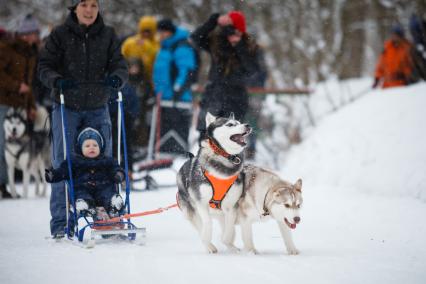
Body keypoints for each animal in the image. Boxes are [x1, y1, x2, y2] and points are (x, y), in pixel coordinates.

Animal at [177, 112, 253, 253]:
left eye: (239, 122)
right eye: (230, 124)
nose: (247, 125)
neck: (224, 157)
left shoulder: (231, 206)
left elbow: (229, 229)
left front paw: (228, 242)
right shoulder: (201, 203)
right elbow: (207, 224)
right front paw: (208, 242)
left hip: (220, 213)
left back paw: (231, 246)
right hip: (191, 210)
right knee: (200, 226)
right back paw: (209, 245)